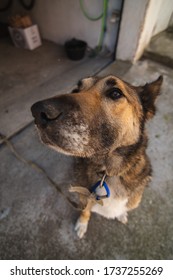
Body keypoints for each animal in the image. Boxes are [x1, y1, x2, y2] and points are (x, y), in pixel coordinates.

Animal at [30, 75, 162, 238]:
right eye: (76, 90)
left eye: (115, 93)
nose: (38, 111)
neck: (107, 173)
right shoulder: (84, 199)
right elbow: (86, 211)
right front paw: (82, 223)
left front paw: (121, 214)